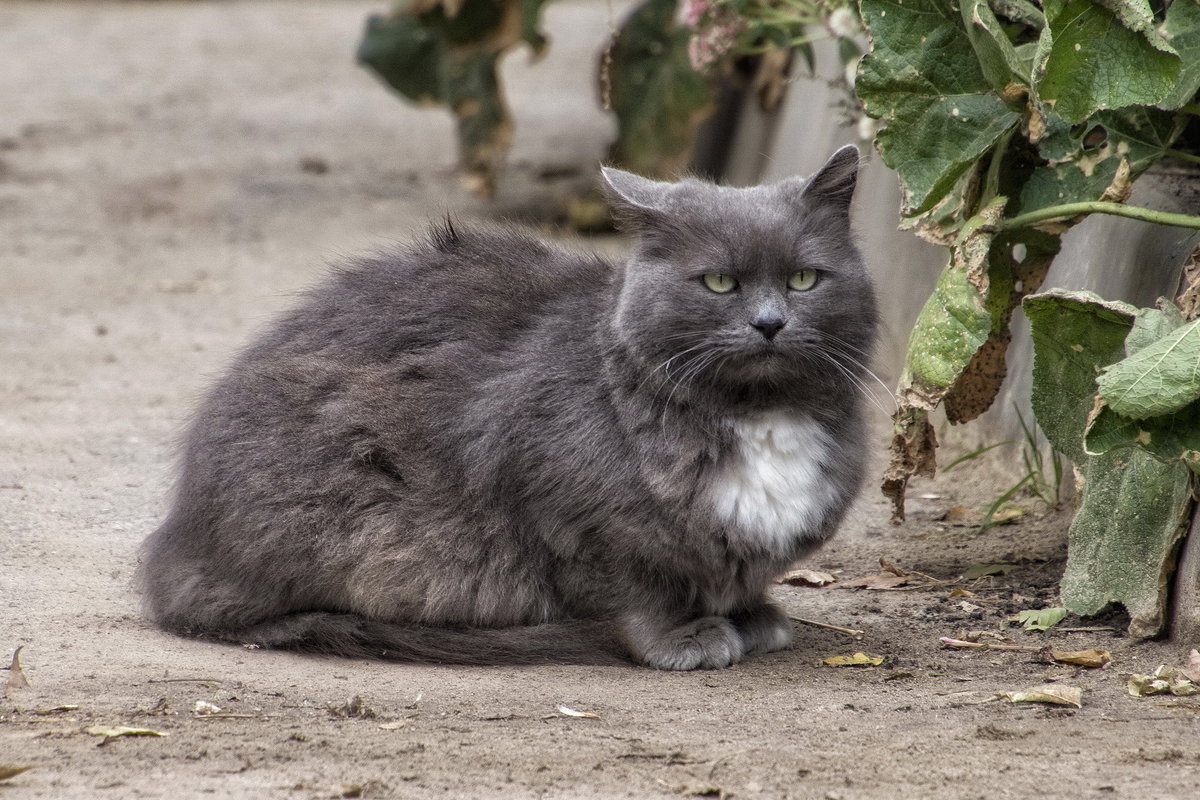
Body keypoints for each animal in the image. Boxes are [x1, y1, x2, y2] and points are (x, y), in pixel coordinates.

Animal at [136, 146, 883, 671]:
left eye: (804, 278)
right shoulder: (578, 520)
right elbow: (635, 591)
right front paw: (686, 639)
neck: (757, 416)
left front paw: (755, 618)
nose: (769, 323)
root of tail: (174, 549)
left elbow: (738, 579)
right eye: (720, 282)